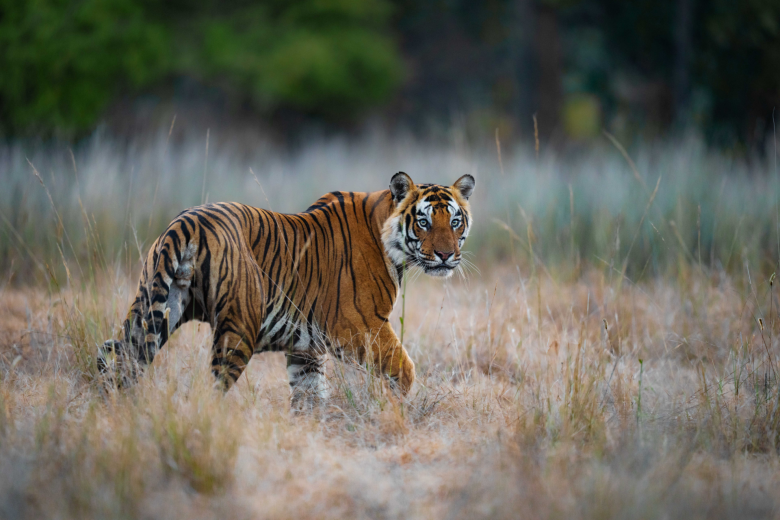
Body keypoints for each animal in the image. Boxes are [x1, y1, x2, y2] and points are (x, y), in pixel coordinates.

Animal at [97, 172, 476, 402]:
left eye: (455, 221)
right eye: (424, 221)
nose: (446, 255)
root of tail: (187, 221)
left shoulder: (306, 349)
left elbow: (310, 399)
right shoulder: (361, 327)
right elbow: (404, 370)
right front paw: (395, 411)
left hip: (155, 310)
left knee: (117, 362)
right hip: (238, 329)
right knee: (211, 390)